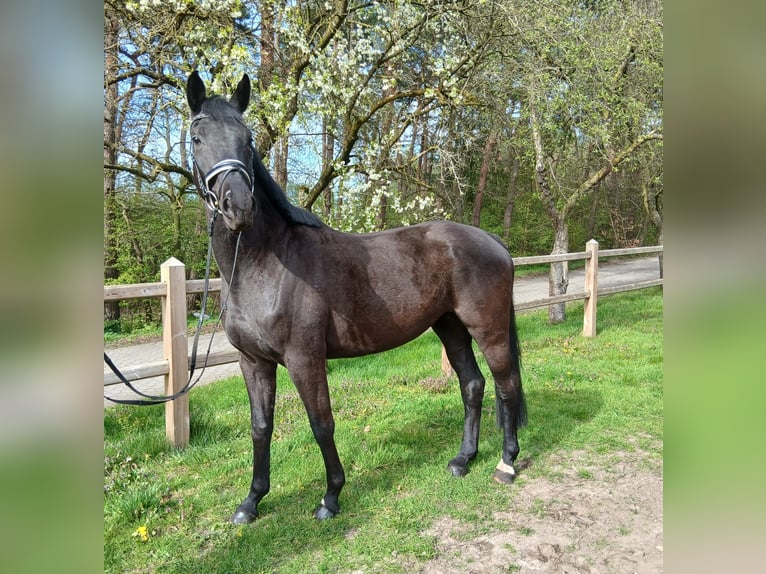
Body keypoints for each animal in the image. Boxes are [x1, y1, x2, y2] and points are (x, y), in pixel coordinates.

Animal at [185, 71, 526, 524]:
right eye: (197, 138)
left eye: (248, 138)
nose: (238, 207)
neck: (263, 265)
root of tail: (491, 240)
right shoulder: (253, 362)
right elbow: (260, 428)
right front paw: (251, 501)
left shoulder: (305, 359)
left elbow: (321, 423)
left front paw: (331, 496)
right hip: (449, 327)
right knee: (472, 385)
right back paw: (462, 460)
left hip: (487, 328)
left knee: (506, 385)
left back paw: (506, 463)